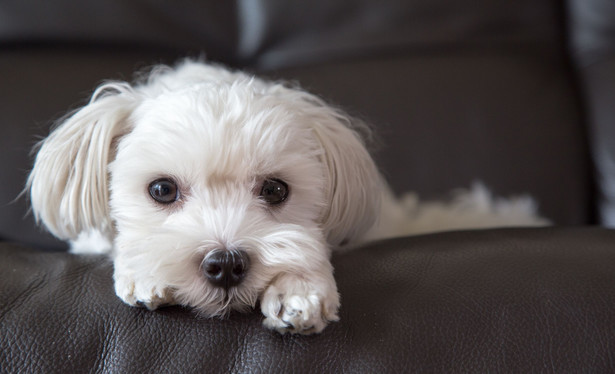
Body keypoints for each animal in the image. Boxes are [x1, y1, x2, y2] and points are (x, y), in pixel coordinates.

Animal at [26, 60, 548, 334]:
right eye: (161, 190)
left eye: (276, 190)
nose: (226, 264)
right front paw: (146, 274)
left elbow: (302, 248)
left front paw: (298, 289)